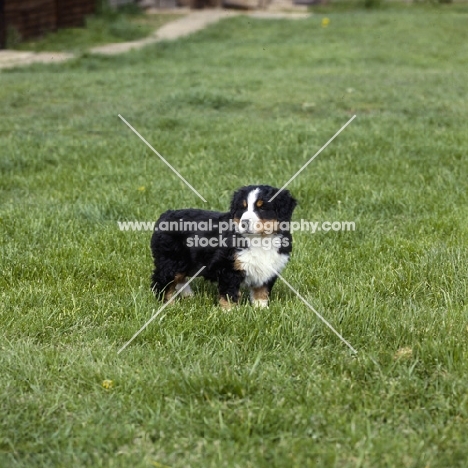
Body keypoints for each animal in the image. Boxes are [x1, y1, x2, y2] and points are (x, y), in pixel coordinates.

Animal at [150, 185, 296, 308]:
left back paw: (188, 296)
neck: (260, 239)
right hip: (171, 260)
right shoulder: (228, 266)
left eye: (262, 208)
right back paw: (168, 304)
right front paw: (230, 313)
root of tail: (165, 215)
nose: (244, 223)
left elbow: (261, 292)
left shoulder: (269, 268)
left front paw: (261, 309)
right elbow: (229, 293)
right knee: (161, 282)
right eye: (243, 208)